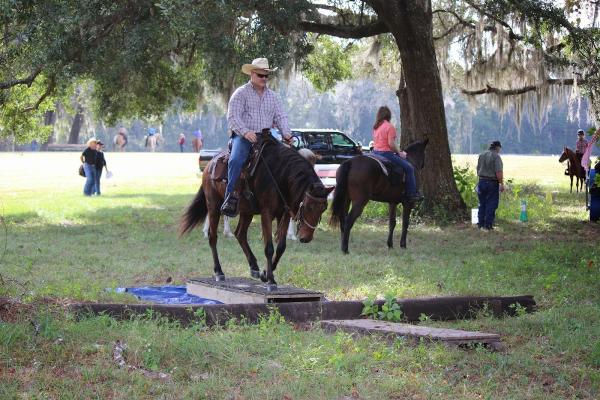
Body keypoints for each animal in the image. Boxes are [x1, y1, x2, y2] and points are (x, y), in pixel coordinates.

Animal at [180, 131, 336, 290]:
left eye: (323, 208)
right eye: (308, 206)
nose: (306, 238)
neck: (279, 175)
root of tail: (209, 165)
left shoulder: (284, 214)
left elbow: (281, 246)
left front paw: (265, 273)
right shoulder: (267, 213)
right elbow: (269, 247)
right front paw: (271, 281)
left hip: (246, 211)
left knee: (240, 234)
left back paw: (254, 267)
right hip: (213, 206)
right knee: (213, 237)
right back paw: (219, 271)